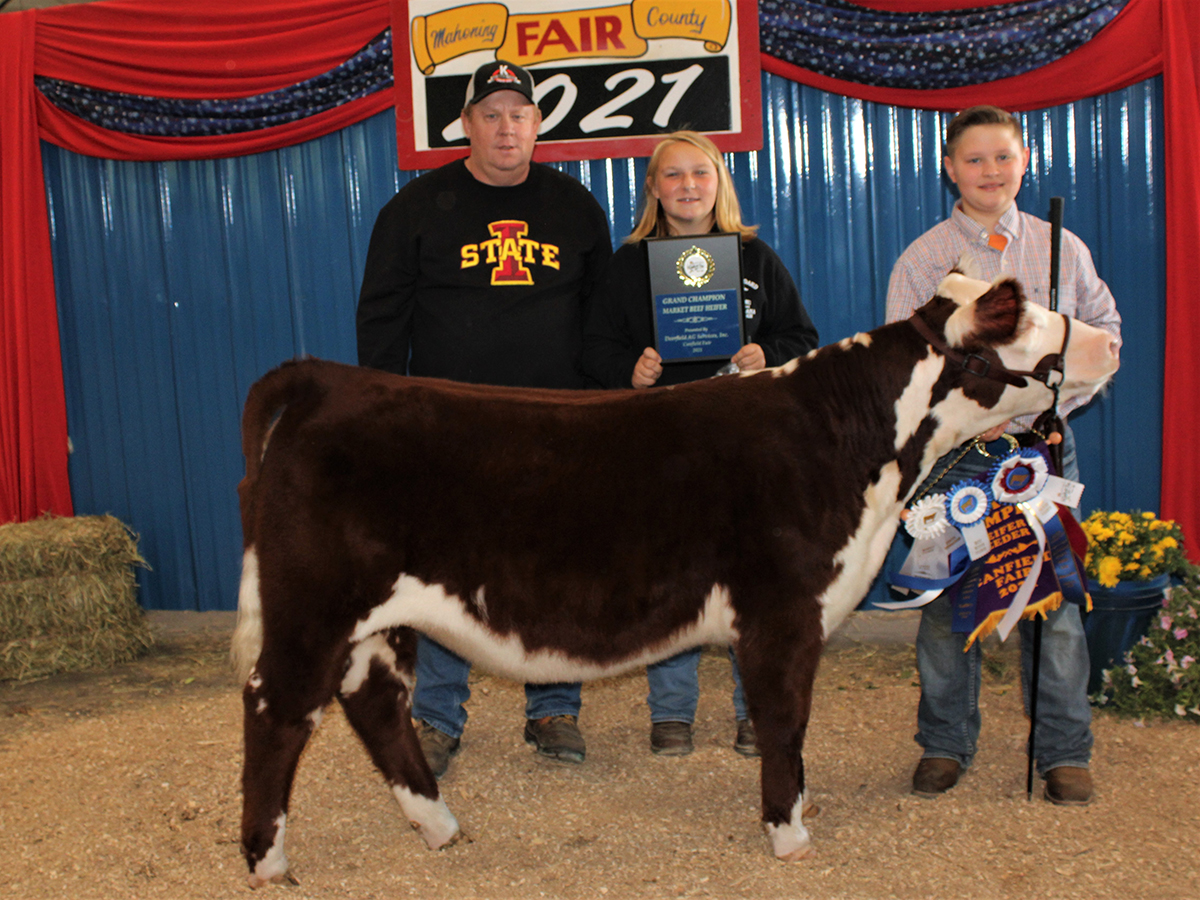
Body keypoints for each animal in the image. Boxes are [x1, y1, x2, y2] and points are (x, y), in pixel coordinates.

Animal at [231, 272, 1118, 886]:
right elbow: (786, 723)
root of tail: (330, 378)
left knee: (375, 705)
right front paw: (790, 833)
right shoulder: (782, 611)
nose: (1110, 339)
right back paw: (268, 861)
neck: (858, 444)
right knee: (277, 707)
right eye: (1023, 315)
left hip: (376, 622)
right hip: (313, 605)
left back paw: (442, 828)